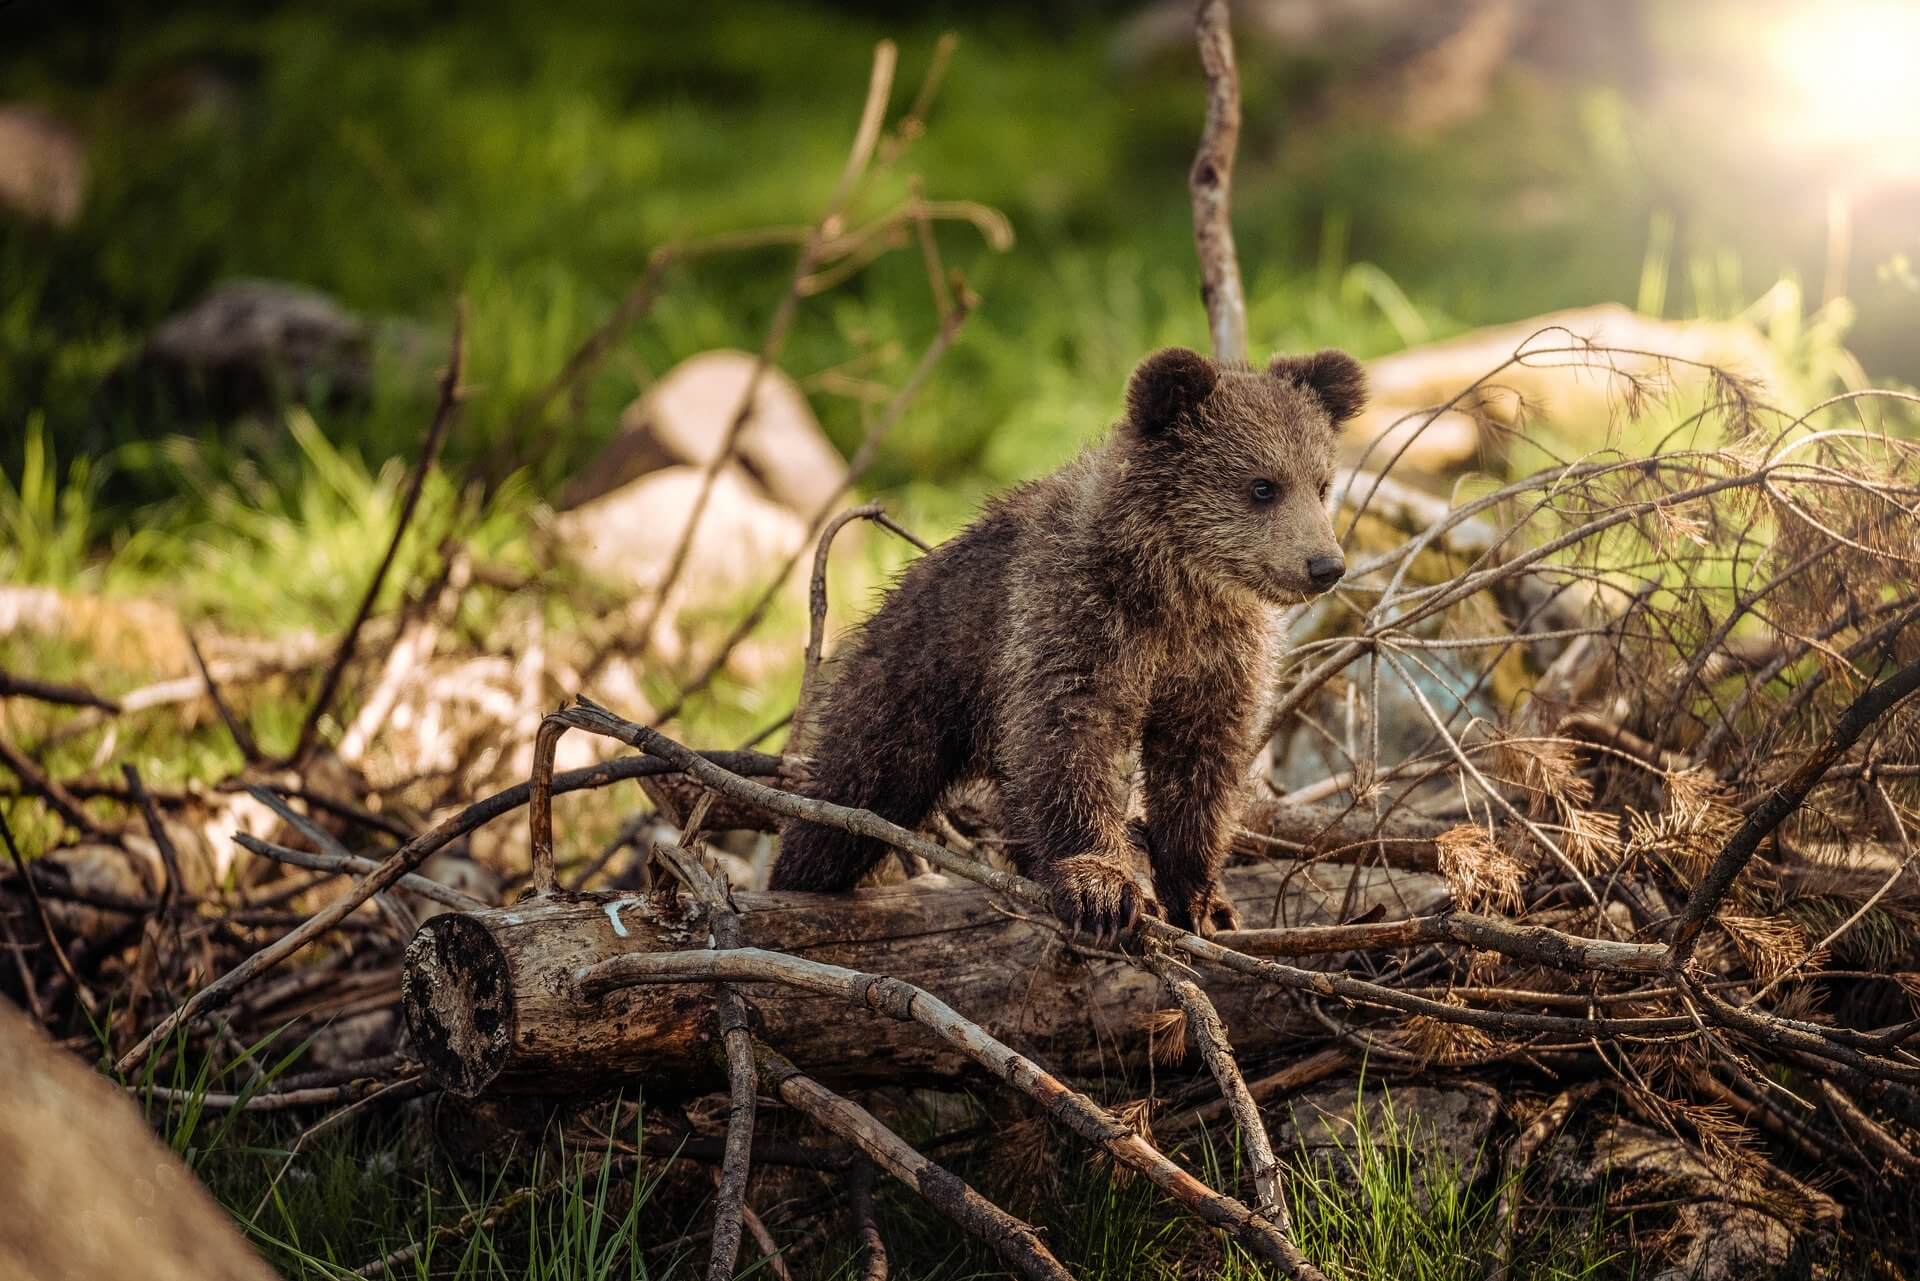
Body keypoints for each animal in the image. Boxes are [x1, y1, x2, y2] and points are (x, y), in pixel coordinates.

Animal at [764, 345, 1367, 937]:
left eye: (1321, 484)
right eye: (1262, 486)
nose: (1325, 565)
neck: (1175, 590)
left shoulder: (1216, 657)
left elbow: (1200, 765)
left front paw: (1203, 901)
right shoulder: (1073, 620)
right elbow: (1069, 740)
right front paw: (1101, 889)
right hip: (912, 685)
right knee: (852, 796)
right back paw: (798, 878)